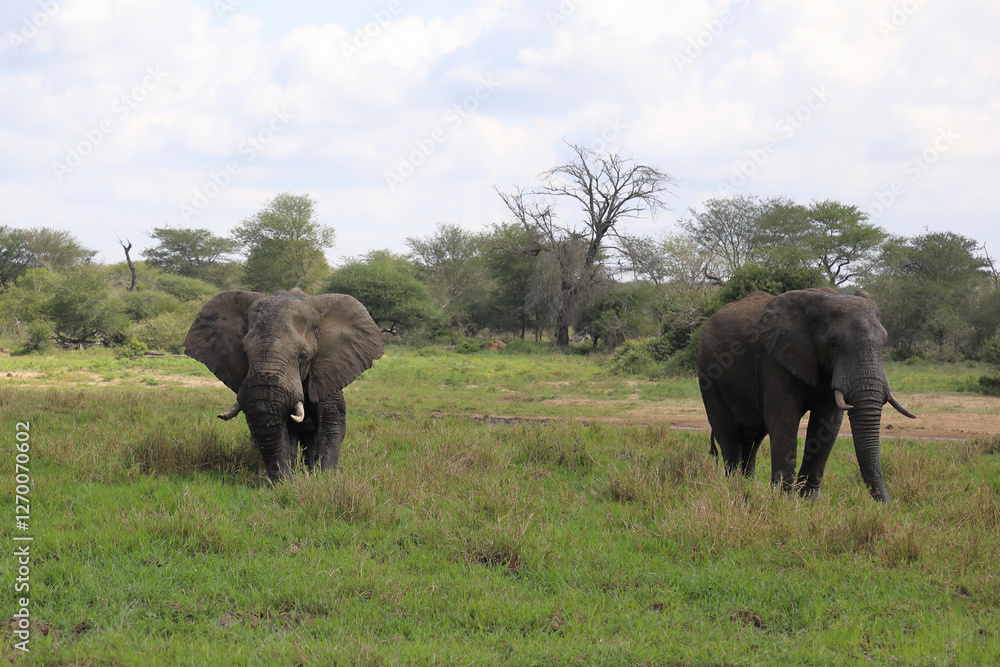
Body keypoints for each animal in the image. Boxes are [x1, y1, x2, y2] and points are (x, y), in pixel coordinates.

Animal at [184, 288, 383, 482]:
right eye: (244, 352)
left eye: (303, 355)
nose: (283, 481)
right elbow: (279, 430)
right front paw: (289, 482)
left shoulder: (328, 371)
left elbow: (331, 423)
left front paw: (325, 479)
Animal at [696, 288, 915, 502]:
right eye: (832, 345)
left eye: (883, 343)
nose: (886, 504)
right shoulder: (776, 360)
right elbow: (784, 418)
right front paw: (783, 500)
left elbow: (828, 423)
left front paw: (810, 500)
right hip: (709, 374)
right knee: (728, 434)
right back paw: (734, 487)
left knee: (753, 436)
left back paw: (746, 485)